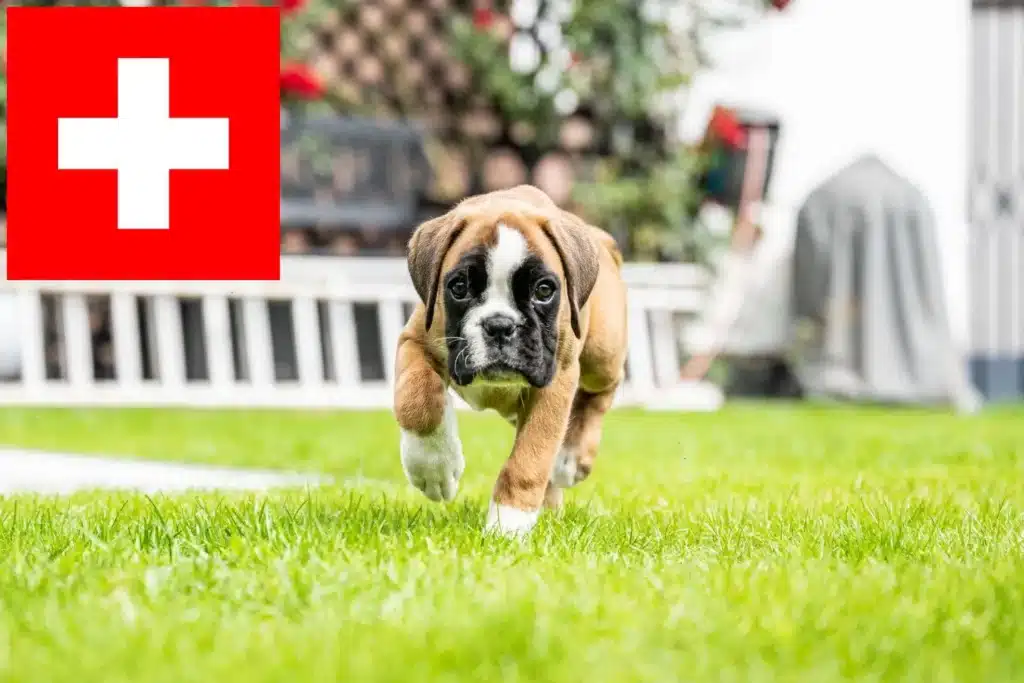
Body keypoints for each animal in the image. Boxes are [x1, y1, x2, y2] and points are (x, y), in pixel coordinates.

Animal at [391, 184, 626, 536]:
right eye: (459, 287)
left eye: (543, 290)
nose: (500, 325)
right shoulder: (415, 341)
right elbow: (417, 401)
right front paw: (433, 469)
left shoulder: (556, 381)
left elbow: (529, 460)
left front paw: (508, 525)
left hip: (602, 355)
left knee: (602, 391)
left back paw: (571, 456)